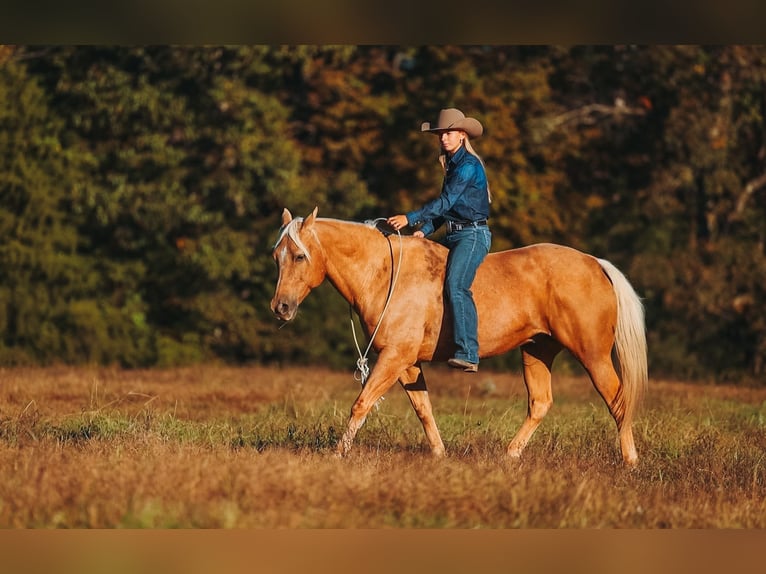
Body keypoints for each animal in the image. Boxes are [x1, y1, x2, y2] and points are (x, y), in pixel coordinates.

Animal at [271, 207, 648, 465]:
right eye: (277, 256)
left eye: (300, 255)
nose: (281, 307)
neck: (386, 273)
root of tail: (595, 263)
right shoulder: (406, 363)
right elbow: (423, 409)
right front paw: (440, 455)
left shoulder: (393, 357)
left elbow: (361, 403)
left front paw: (337, 454)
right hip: (537, 351)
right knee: (540, 403)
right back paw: (509, 456)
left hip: (593, 356)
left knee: (618, 400)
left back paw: (630, 461)